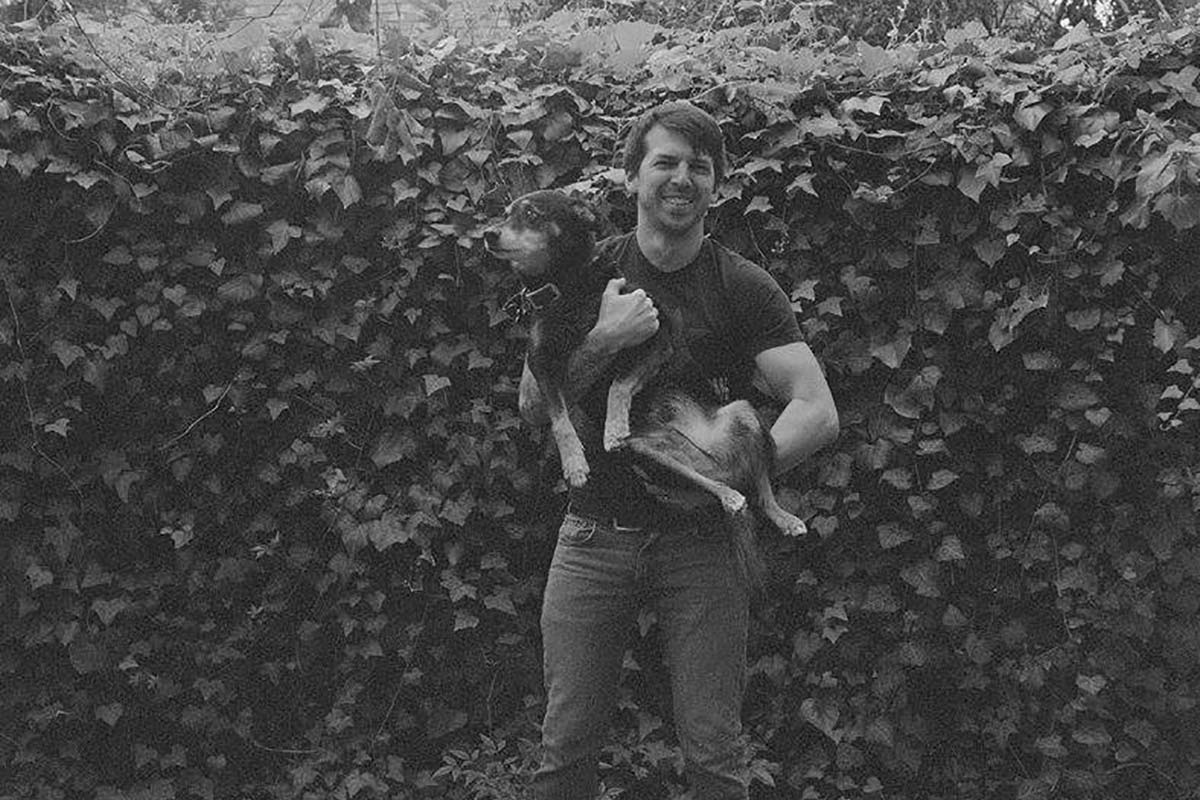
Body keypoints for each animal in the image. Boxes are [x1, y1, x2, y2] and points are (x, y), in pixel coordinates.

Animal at [484, 189, 806, 594]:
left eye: (531, 214)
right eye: (505, 212)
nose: (488, 234)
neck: (570, 285)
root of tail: (715, 460)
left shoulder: (656, 333)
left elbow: (619, 384)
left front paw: (613, 427)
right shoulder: (542, 363)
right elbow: (558, 418)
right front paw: (574, 463)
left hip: (743, 411)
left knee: (760, 488)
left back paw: (784, 517)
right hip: (648, 454)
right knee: (715, 485)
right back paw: (729, 495)